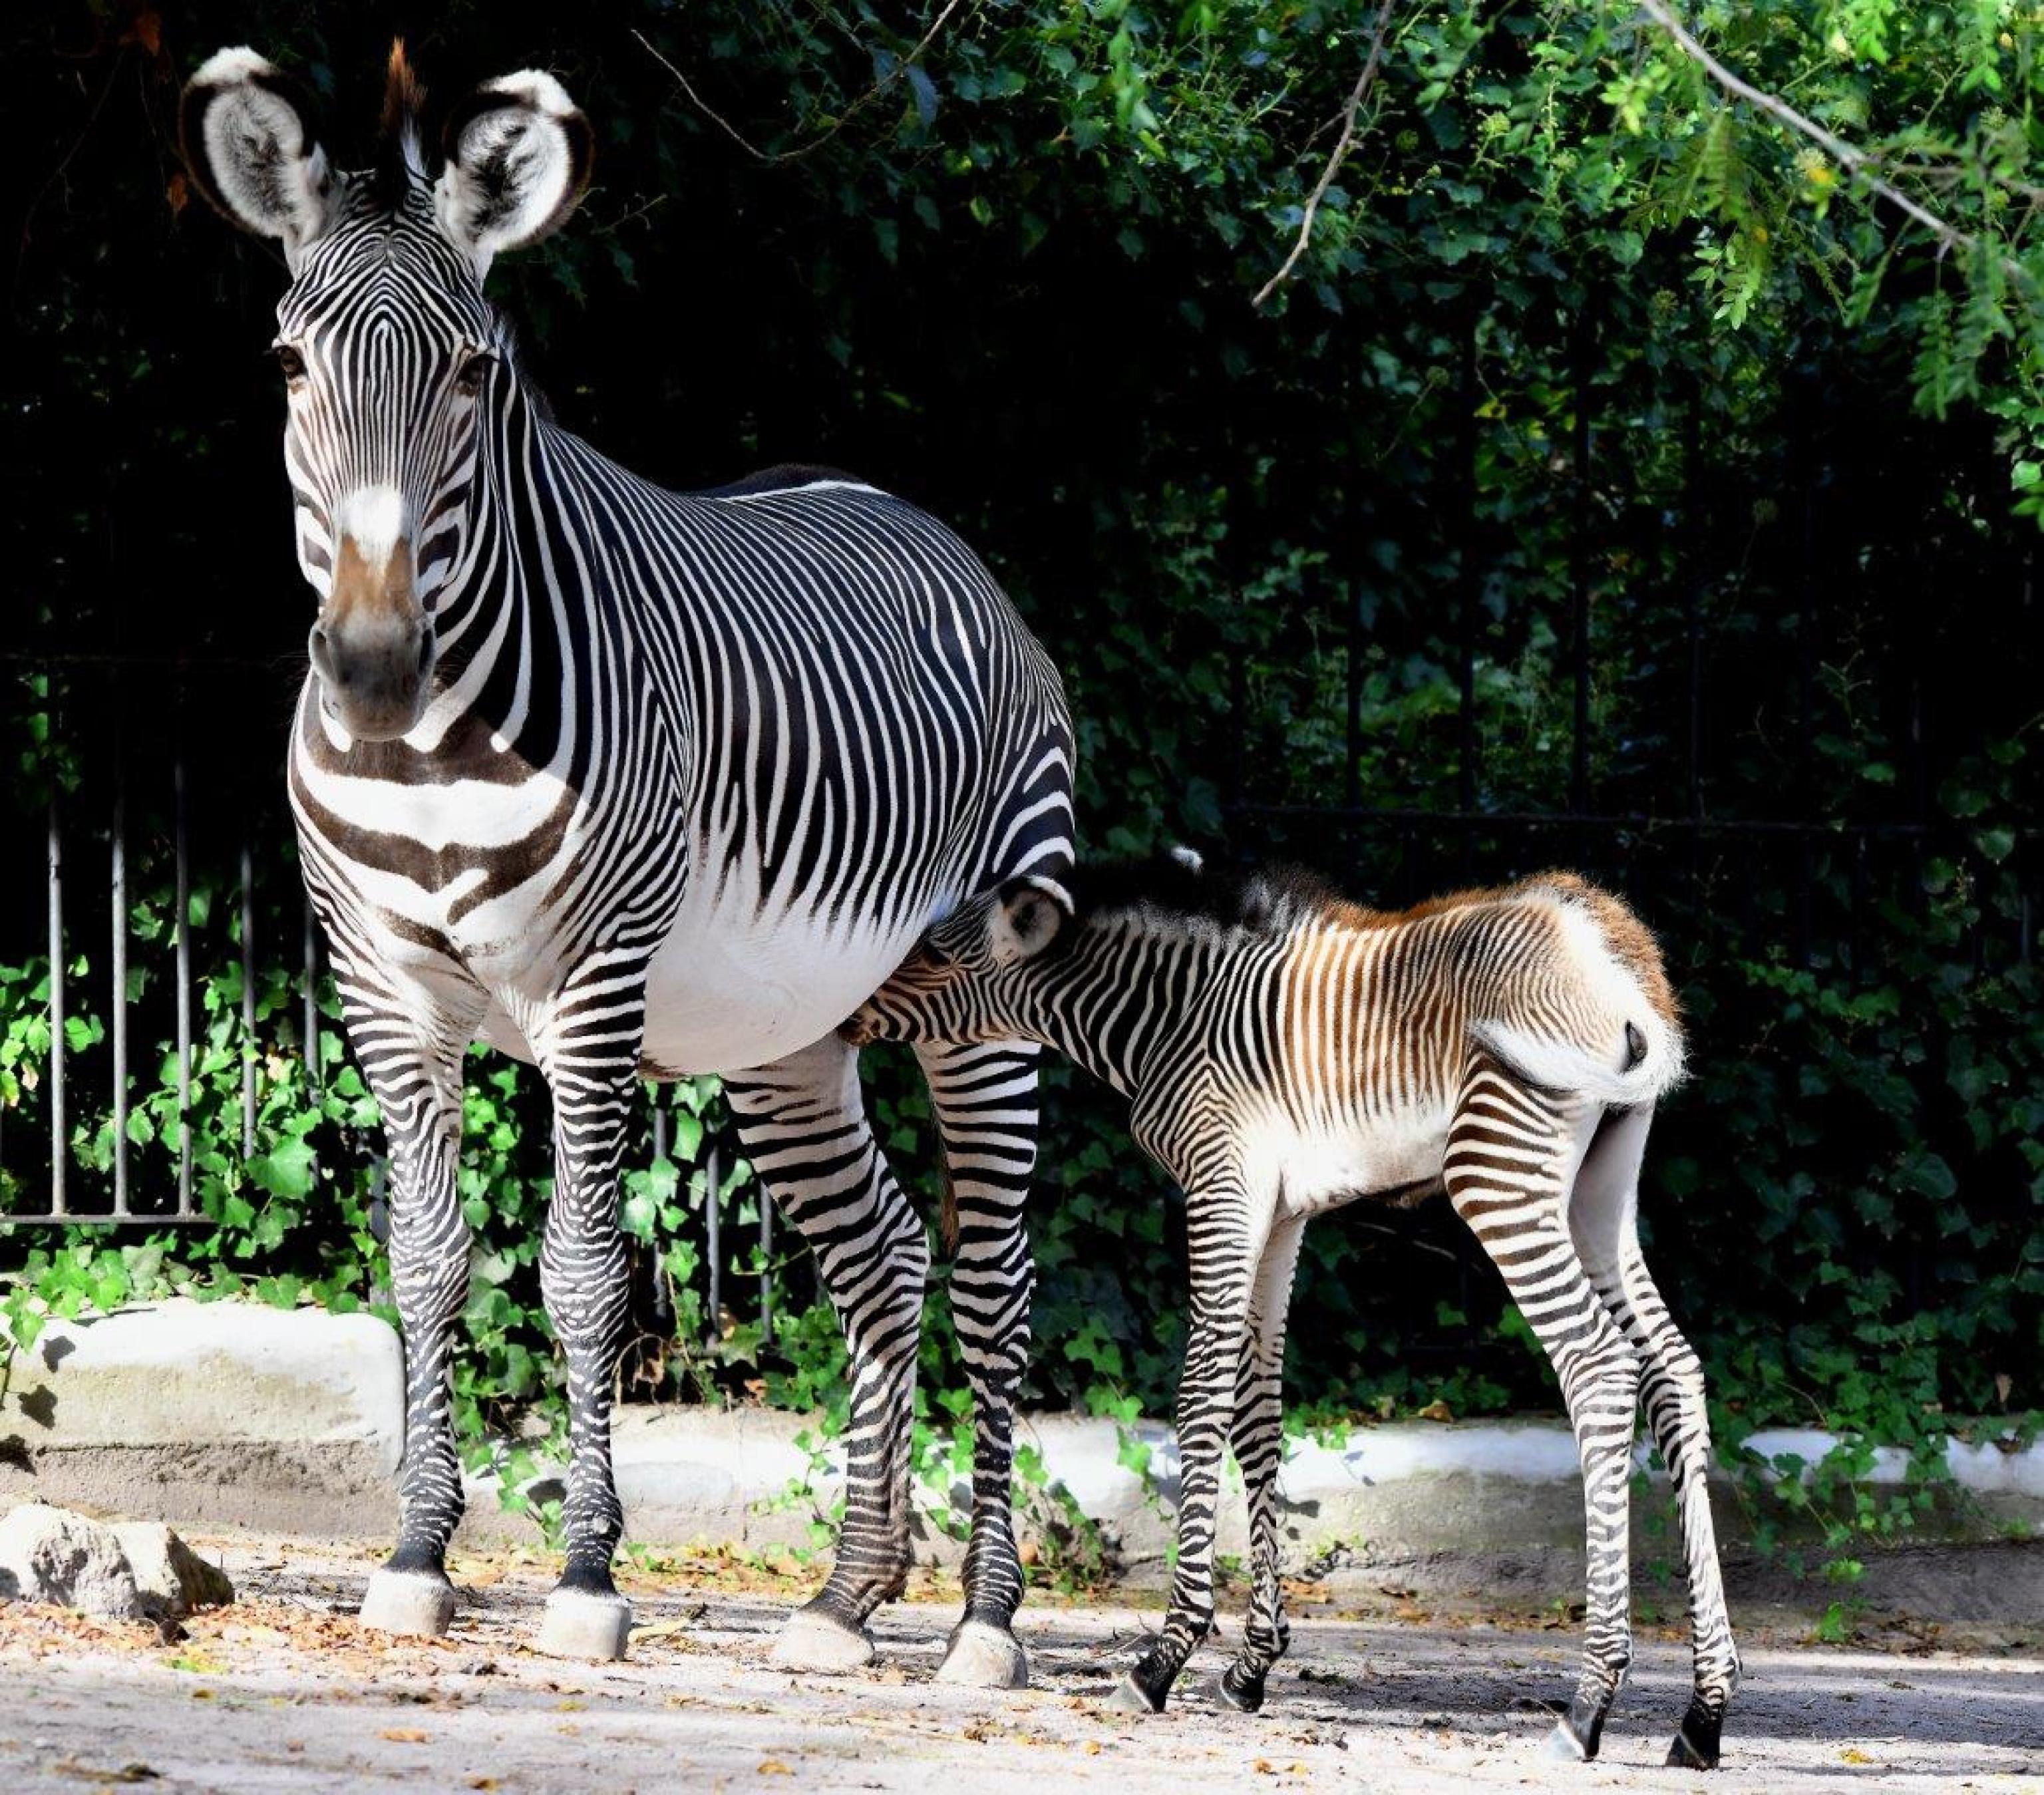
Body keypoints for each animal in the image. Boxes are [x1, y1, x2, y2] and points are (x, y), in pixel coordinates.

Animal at [180, 44, 1072, 1683]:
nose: (377, 666)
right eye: (285, 367)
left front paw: (589, 1573)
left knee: (992, 1279)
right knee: (884, 1256)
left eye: (475, 376)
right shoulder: (384, 992)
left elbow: (584, 1270)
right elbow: (427, 1263)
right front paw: (417, 1556)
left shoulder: (593, 991)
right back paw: (844, 1598)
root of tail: (910, 513)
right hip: (792, 1035)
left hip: (986, 1002)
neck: (431, 747)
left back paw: (985, 1617)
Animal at [845, 852, 1740, 1769]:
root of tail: (1609, 944)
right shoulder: (1278, 1216)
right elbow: (1258, 1415)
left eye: (938, 957)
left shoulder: (1222, 1188)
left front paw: (1164, 1657)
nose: (848, 1020)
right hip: (1600, 1188)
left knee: (1599, 1370)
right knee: (1673, 1372)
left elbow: (1200, 1400)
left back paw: (1590, 1702)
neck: (1170, 1018)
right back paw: (1702, 1713)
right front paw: (1252, 1664)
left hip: (1500, 1171)